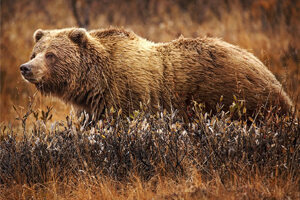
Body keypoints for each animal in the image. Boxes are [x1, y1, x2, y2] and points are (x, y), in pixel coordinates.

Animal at [20, 27, 292, 119]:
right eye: (35, 53)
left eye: (51, 55)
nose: (26, 68)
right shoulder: (93, 107)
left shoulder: (128, 95)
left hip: (239, 98)